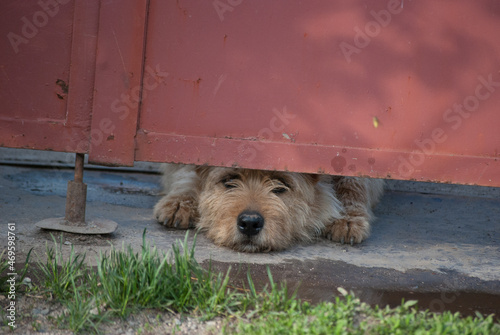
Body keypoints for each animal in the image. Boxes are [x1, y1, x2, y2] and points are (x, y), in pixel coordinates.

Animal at [154, 164, 384, 253]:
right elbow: (185, 171)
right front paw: (181, 201)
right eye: (229, 181)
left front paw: (348, 217)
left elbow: (355, 181)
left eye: (280, 185)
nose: (249, 223)